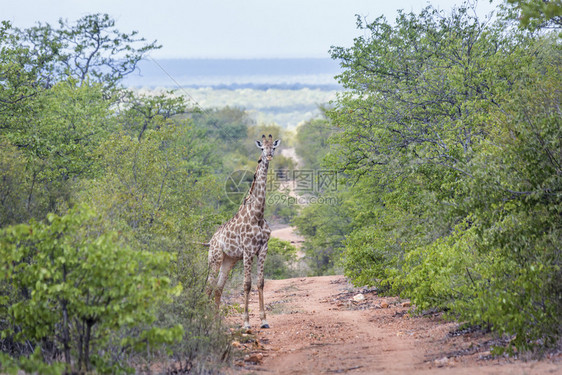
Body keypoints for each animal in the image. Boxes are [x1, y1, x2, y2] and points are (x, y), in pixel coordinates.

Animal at [207, 134, 278, 330]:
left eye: (274, 147)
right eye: (262, 148)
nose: (269, 156)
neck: (258, 215)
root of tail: (211, 239)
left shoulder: (263, 248)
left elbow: (260, 282)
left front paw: (264, 320)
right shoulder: (247, 250)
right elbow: (247, 284)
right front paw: (246, 323)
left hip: (228, 260)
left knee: (218, 288)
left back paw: (215, 321)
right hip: (215, 258)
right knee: (208, 287)